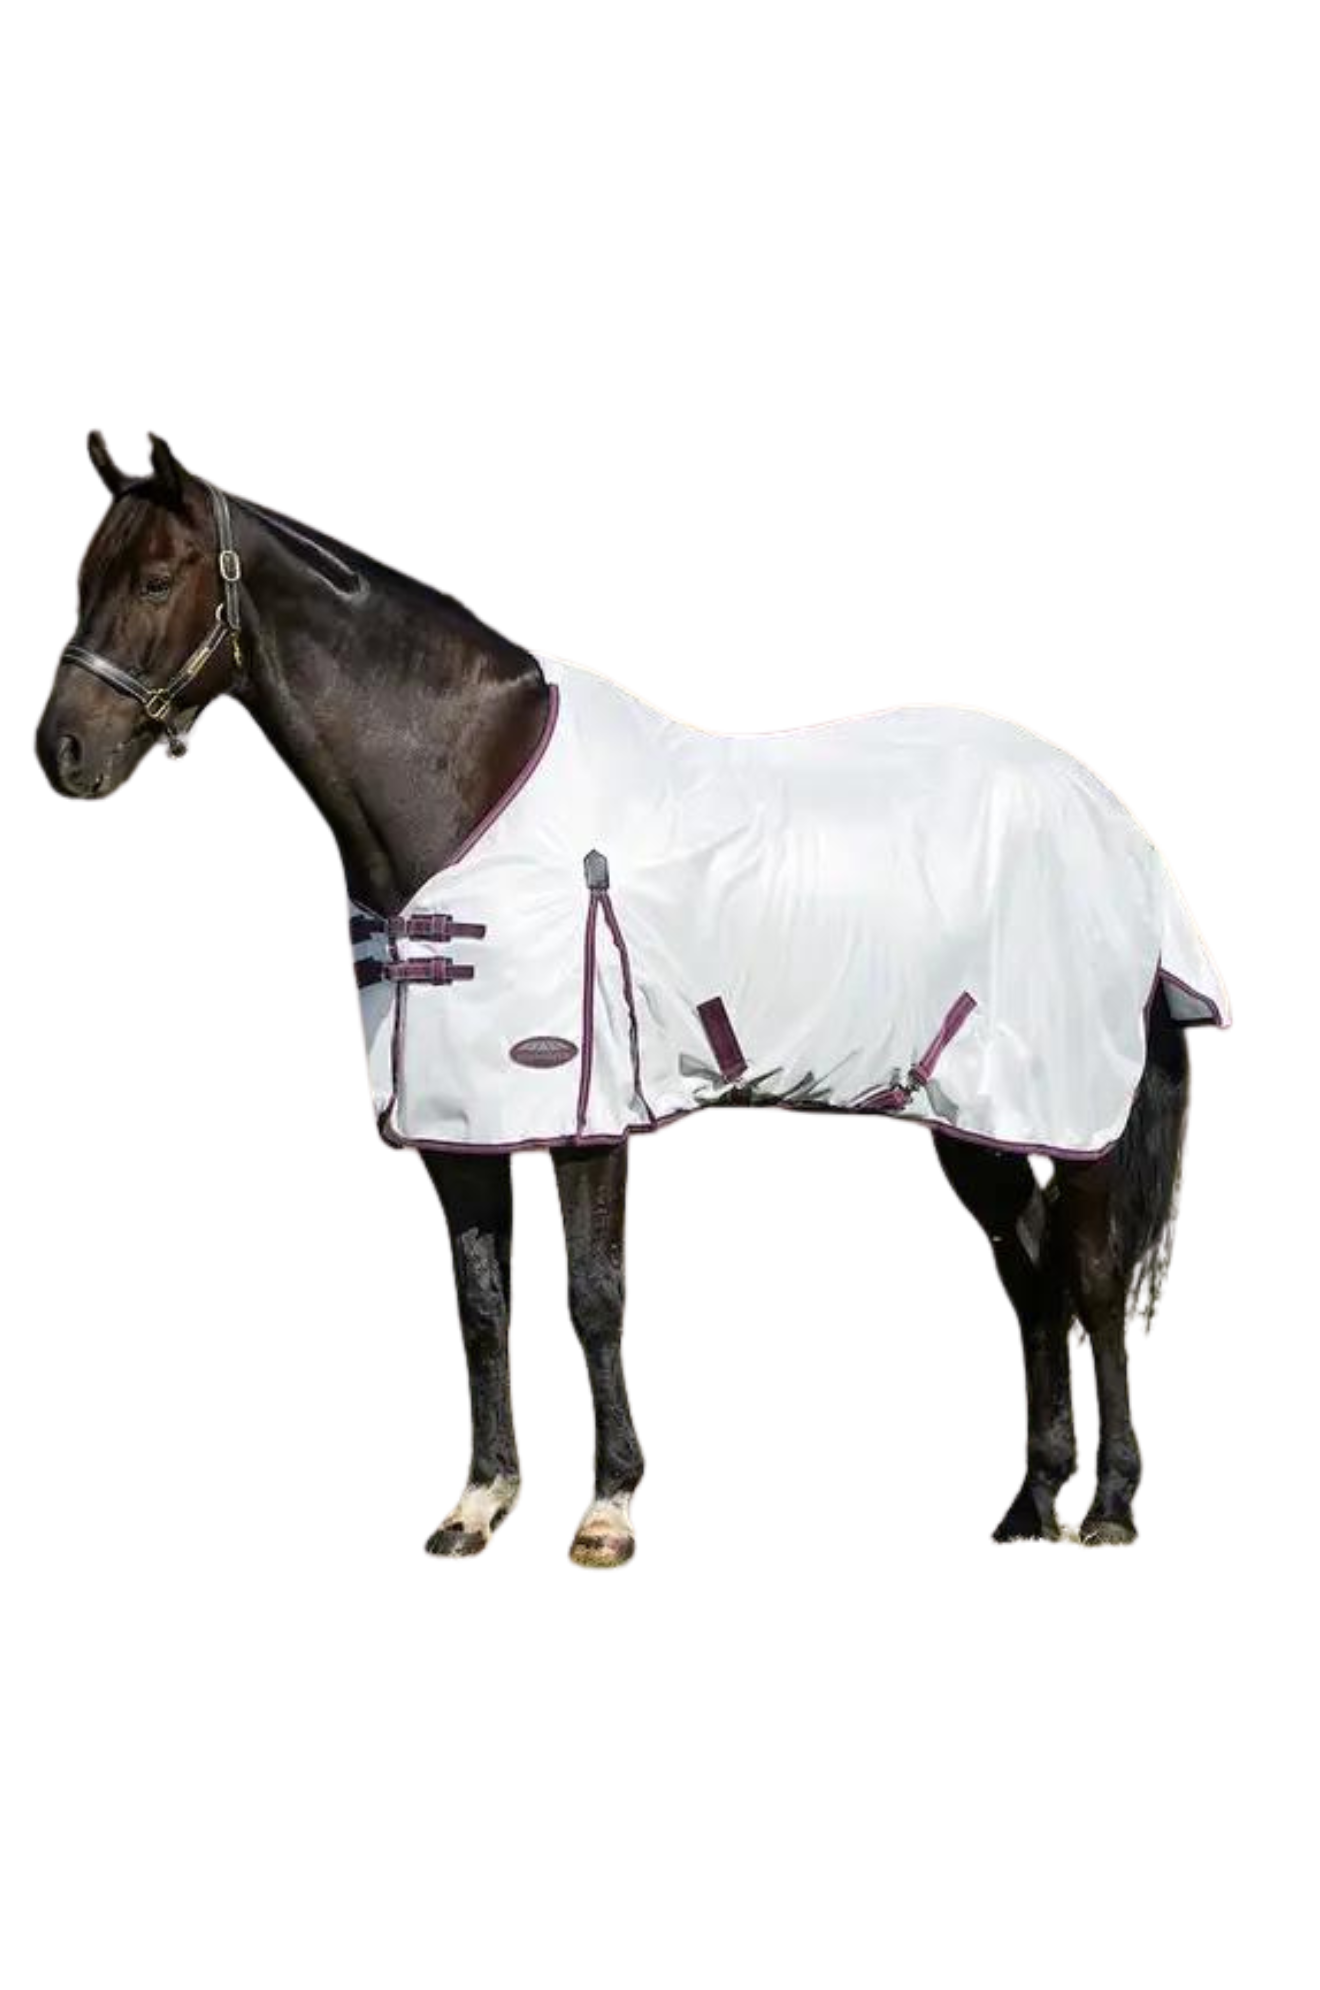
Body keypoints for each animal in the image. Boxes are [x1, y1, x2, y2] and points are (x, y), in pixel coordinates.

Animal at [34, 428, 1232, 1565]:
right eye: (83, 575)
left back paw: (1109, 1507)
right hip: (972, 1119)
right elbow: (482, 1305)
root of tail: (1110, 816)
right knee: (1032, 1286)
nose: (66, 754)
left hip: (1068, 1112)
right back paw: (1032, 1508)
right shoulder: (460, 1125)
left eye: (157, 577)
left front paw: (607, 1512)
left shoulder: (588, 1112)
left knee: (1090, 1278)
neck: (468, 785)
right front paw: (476, 1507)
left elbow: (595, 1297)